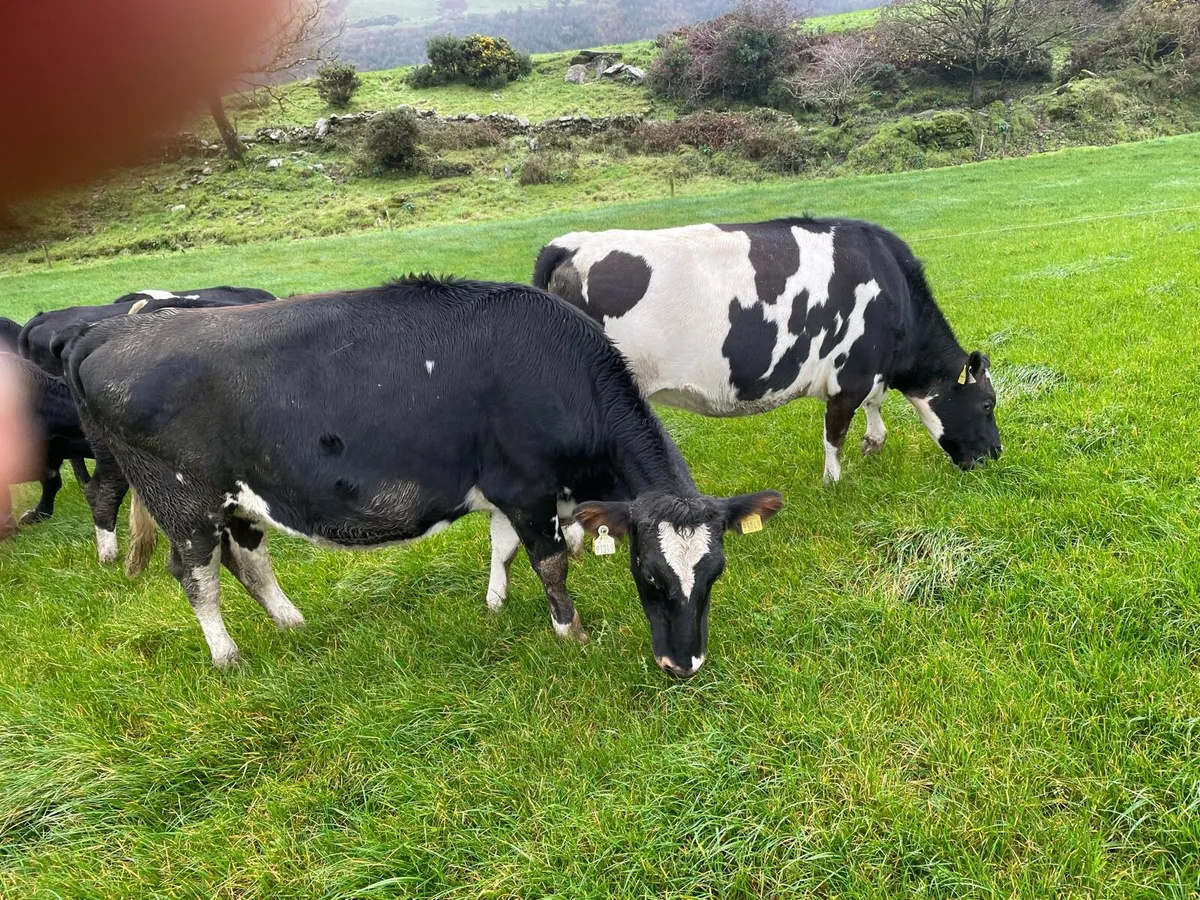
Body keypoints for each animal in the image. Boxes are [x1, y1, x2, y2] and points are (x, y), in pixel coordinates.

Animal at [64, 276, 783, 676]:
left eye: (715, 574)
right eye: (647, 574)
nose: (683, 663)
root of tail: (107, 332)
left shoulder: (511, 491)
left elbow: (502, 550)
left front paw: (494, 605)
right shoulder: (528, 489)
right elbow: (550, 563)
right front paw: (570, 632)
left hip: (243, 499)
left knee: (249, 561)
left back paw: (292, 625)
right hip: (183, 501)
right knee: (196, 576)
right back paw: (227, 655)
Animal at [533, 217, 1002, 483]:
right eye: (987, 404)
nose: (997, 454)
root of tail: (571, 244)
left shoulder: (869, 372)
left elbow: (875, 407)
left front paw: (873, 443)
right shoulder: (848, 376)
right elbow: (835, 435)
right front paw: (834, 483)